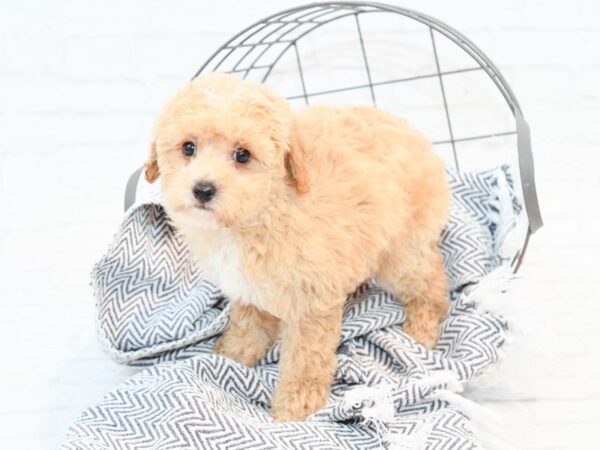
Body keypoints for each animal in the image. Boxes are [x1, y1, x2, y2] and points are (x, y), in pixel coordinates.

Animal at [145, 73, 450, 422]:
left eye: (243, 155)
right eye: (188, 148)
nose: (203, 189)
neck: (261, 213)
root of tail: (417, 137)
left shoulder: (311, 304)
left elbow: (304, 362)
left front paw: (294, 409)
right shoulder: (248, 291)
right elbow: (247, 326)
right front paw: (233, 355)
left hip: (400, 252)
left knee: (430, 284)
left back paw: (422, 329)